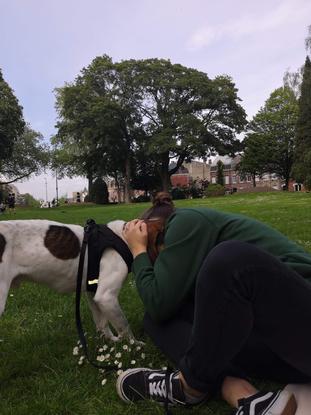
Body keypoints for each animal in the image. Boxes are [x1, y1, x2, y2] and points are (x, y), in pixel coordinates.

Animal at [0, 219, 134, 342]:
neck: (122, 236)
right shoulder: (106, 297)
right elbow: (125, 328)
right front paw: (133, 346)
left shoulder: (93, 293)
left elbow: (102, 322)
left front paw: (111, 341)